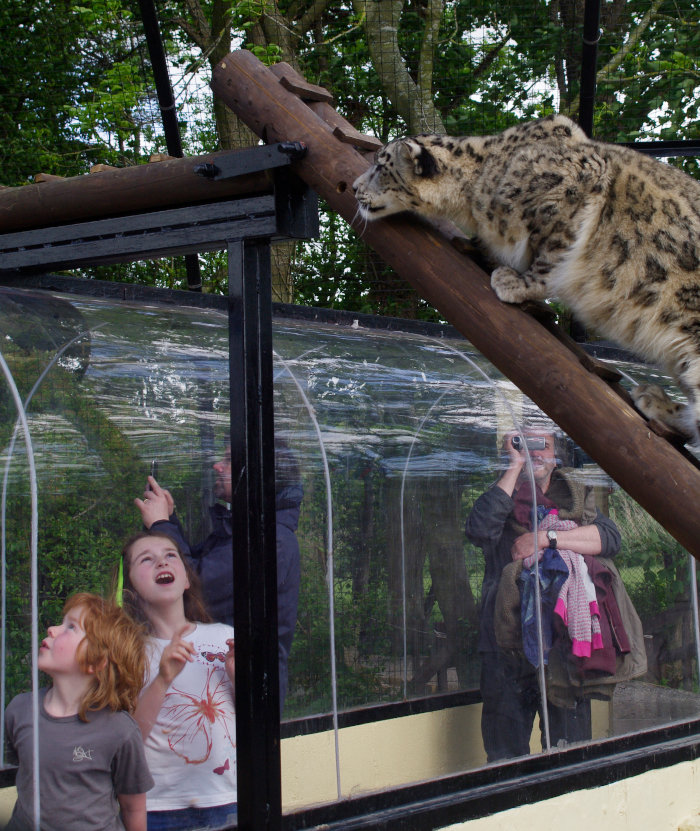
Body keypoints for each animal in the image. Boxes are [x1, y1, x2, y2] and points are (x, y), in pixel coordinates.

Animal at [356, 114, 700, 446]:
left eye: (380, 166)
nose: (356, 187)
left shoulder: (578, 181)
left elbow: (552, 252)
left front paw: (517, 283)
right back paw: (655, 400)